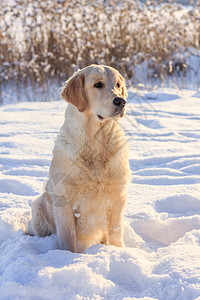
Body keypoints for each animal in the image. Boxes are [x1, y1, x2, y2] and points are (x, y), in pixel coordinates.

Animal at [28, 64, 131, 252]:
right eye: (98, 84)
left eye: (118, 85)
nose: (121, 101)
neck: (95, 143)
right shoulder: (64, 200)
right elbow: (67, 235)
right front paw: (67, 256)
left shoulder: (117, 196)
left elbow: (115, 230)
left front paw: (117, 251)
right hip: (38, 205)